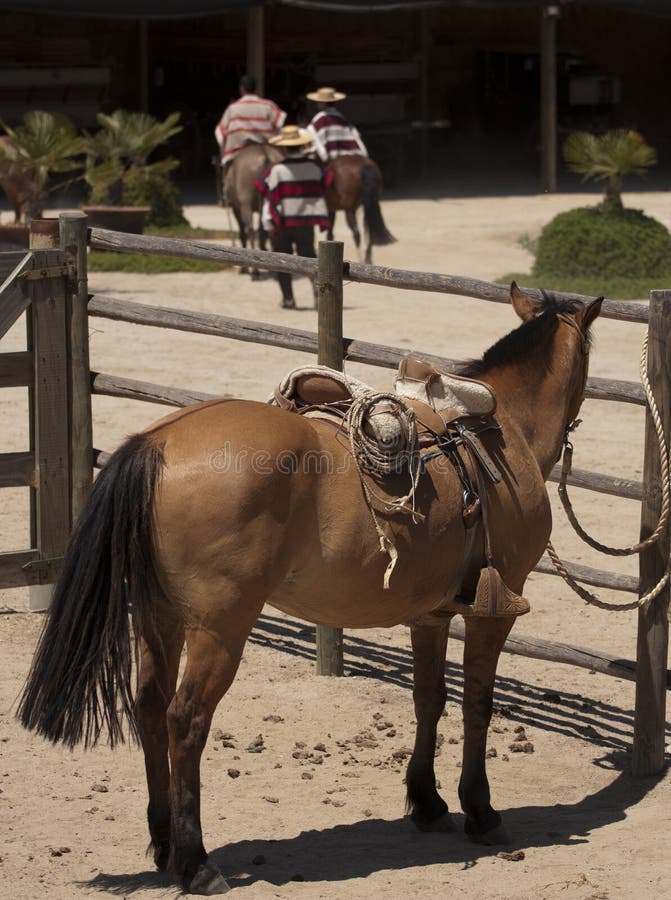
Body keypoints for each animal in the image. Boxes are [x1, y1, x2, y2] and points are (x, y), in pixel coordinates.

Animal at [18, 286, 604, 892]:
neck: (501, 432)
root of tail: (155, 444)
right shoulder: (494, 610)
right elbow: (478, 705)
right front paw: (481, 811)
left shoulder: (431, 614)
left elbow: (430, 699)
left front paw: (427, 802)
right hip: (219, 628)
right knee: (186, 719)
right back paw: (196, 861)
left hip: (160, 616)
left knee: (151, 708)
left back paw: (163, 845)